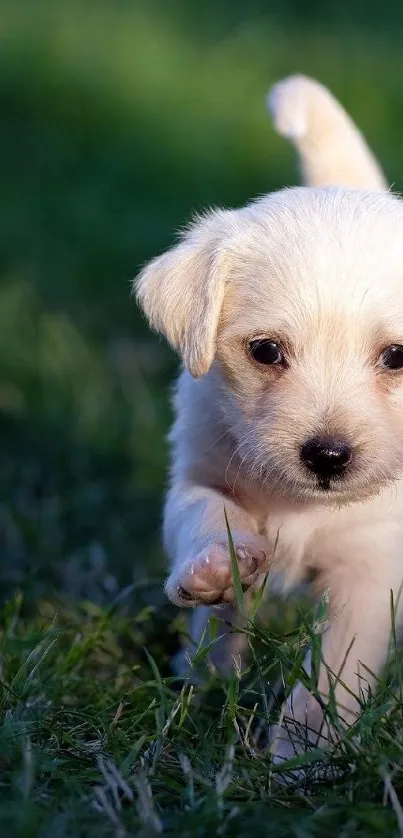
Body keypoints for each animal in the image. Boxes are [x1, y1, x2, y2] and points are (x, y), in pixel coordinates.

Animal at [135, 77, 403, 760]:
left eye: (397, 357)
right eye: (264, 351)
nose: (328, 456)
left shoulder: (370, 568)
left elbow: (335, 670)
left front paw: (302, 755)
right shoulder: (199, 473)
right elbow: (208, 516)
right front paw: (214, 571)